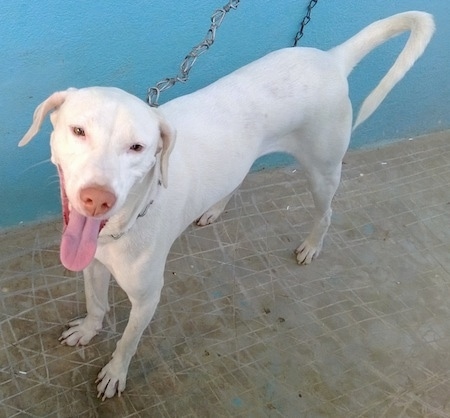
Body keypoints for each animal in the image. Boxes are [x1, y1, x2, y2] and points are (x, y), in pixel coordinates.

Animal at [19, 11, 434, 400]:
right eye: (78, 131)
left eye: (137, 147)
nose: (97, 198)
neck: (125, 223)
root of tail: (330, 58)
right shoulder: (93, 266)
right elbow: (96, 305)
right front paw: (89, 330)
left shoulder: (148, 298)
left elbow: (128, 341)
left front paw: (115, 373)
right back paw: (216, 209)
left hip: (323, 172)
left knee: (326, 211)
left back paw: (312, 245)